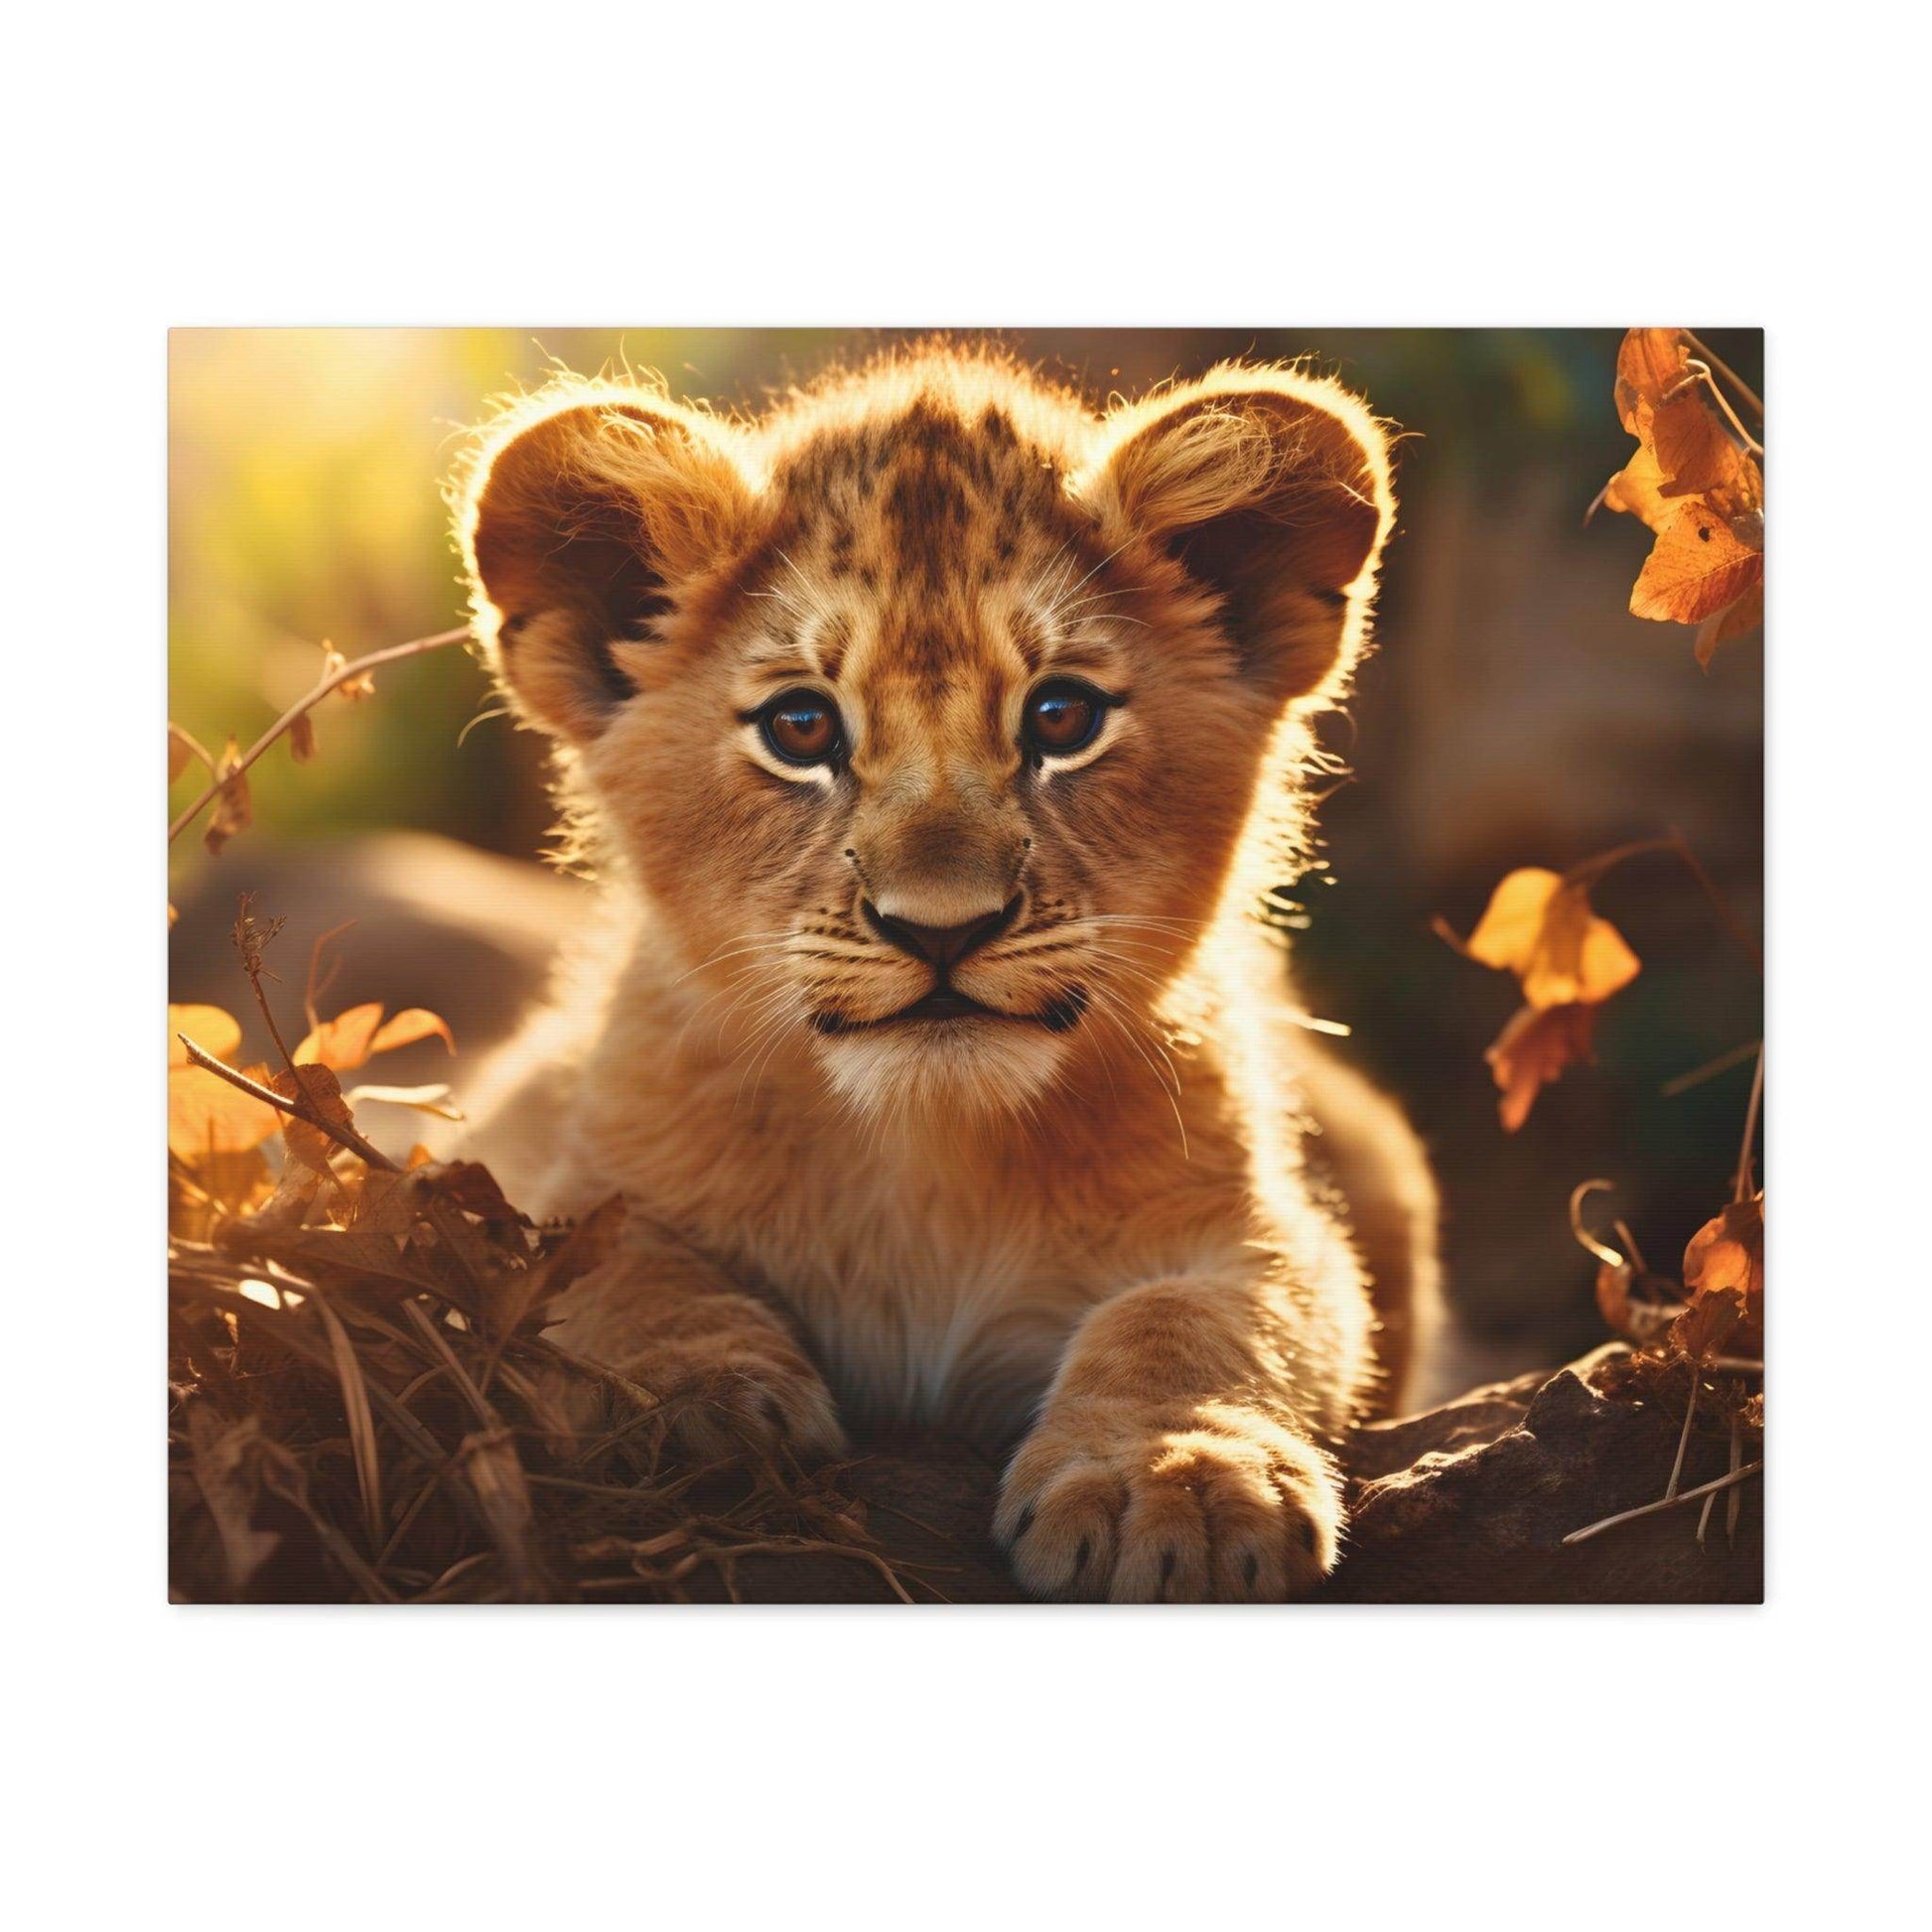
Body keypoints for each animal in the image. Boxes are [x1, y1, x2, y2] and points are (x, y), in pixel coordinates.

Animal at [451, 342, 1440, 1601]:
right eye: (800, 726)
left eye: (1061, 716)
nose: (939, 928)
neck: (924, 1156)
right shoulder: (535, 1148)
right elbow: (604, 1259)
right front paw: (683, 1400)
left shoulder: (1262, 1221)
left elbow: (1201, 1314)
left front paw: (1172, 1477)